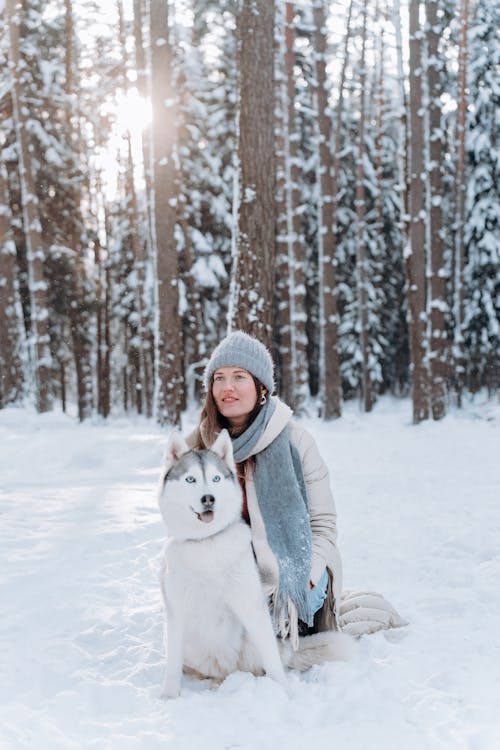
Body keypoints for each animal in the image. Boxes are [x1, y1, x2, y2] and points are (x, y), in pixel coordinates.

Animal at [158, 432, 350, 704]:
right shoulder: (176, 613)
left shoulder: (251, 608)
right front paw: (169, 696)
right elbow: (172, 664)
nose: (208, 499)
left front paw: (285, 693)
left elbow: (272, 662)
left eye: (216, 478)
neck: (207, 543)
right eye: (190, 479)